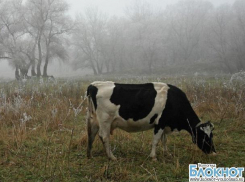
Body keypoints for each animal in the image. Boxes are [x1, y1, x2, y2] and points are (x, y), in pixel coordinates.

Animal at [86, 82, 216, 160]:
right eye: (204, 136)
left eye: (212, 135)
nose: (213, 152)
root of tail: (94, 84)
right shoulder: (160, 123)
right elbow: (156, 140)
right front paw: (153, 157)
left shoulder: (165, 124)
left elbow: (164, 139)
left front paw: (167, 153)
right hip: (105, 120)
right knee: (104, 136)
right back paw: (111, 157)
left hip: (94, 119)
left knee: (91, 134)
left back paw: (89, 155)